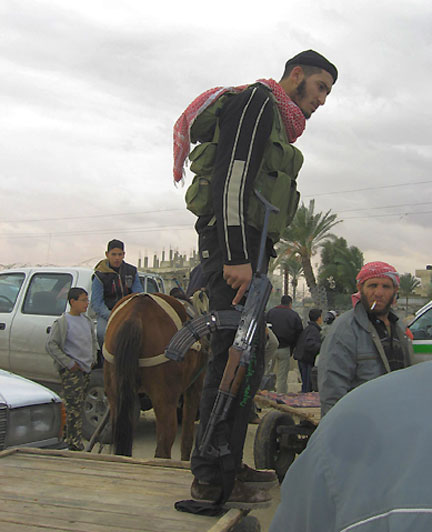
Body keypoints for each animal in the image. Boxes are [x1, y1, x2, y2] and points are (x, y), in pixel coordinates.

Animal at [103, 294, 208, 460]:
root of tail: (136, 313)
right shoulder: (195, 386)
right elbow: (187, 438)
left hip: (116, 396)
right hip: (165, 399)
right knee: (164, 445)